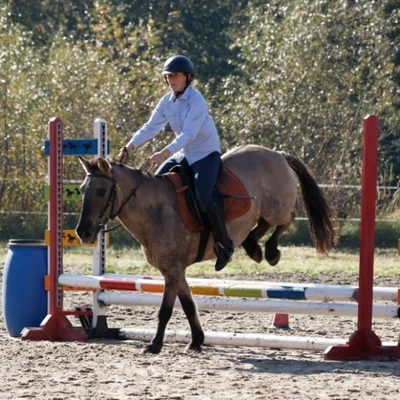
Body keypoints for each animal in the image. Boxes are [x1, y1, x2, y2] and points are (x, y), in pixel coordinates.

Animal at [76, 144, 338, 354]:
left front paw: (155, 344)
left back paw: (271, 251)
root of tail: (277, 154)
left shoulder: (173, 270)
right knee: (262, 225)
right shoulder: (174, 271)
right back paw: (252, 247)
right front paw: (196, 341)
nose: (83, 232)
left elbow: (165, 310)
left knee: (287, 218)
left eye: (101, 191)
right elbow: (189, 305)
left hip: (277, 207)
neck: (155, 210)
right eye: (81, 190)